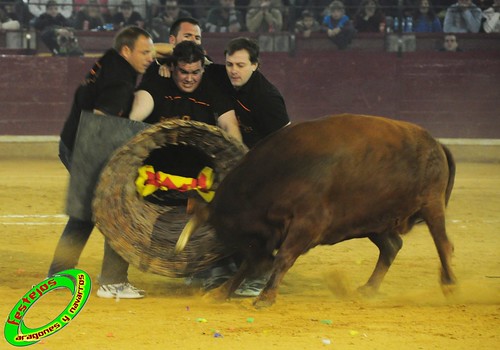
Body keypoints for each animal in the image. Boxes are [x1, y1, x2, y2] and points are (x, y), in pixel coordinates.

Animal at [177, 114, 458, 306]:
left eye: (231, 233)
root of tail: (436, 143)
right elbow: (249, 266)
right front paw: (220, 292)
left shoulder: (306, 224)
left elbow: (283, 257)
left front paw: (265, 296)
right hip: (372, 220)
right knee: (391, 246)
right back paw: (368, 288)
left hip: (431, 205)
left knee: (443, 244)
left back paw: (449, 285)